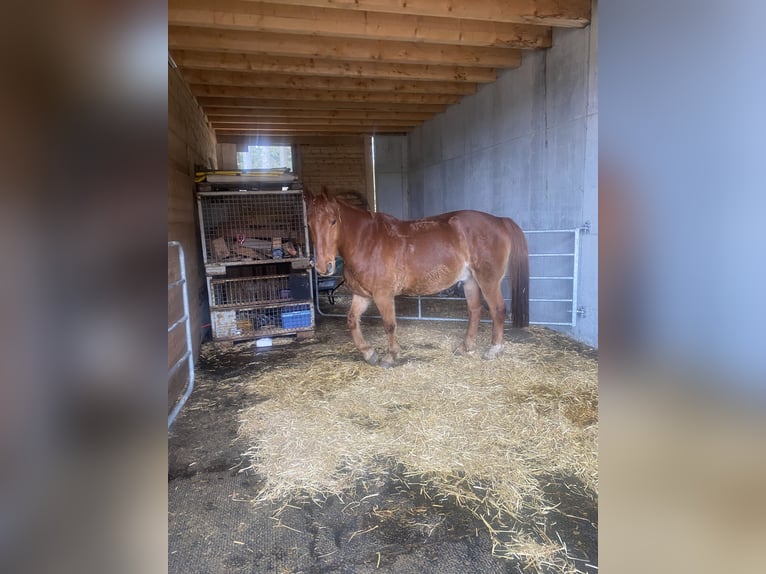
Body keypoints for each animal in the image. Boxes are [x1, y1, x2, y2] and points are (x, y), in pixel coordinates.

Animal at [304, 190, 528, 368]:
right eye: (309, 224)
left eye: (333, 221)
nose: (324, 267)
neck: (367, 242)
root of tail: (499, 220)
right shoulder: (362, 295)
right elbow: (352, 320)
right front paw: (369, 353)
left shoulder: (383, 295)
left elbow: (389, 324)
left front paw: (390, 356)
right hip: (470, 281)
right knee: (475, 311)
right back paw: (465, 347)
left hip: (488, 280)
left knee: (497, 309)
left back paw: (493, 350)